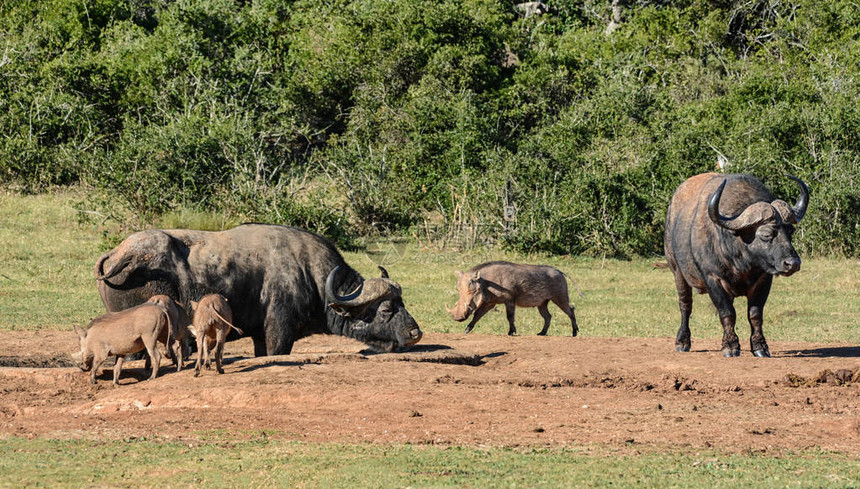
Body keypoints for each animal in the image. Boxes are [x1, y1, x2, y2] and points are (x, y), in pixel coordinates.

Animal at [94, 224, 424, 354]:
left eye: (404, 302)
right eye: (386, 309)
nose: (415, 333)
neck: (310, 276)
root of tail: (118, 256)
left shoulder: (259, 337)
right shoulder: (279, 333)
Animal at [664, 173, 808, 356]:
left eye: (790, 232)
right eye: (766, 234)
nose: (793, 263)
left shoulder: (764, 279)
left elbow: (755, 314)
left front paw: (760, 347)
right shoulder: (713, 279)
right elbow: (727, 313)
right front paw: (730, 346)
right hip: (677, 272)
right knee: (685, 305)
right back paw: (682, 342)